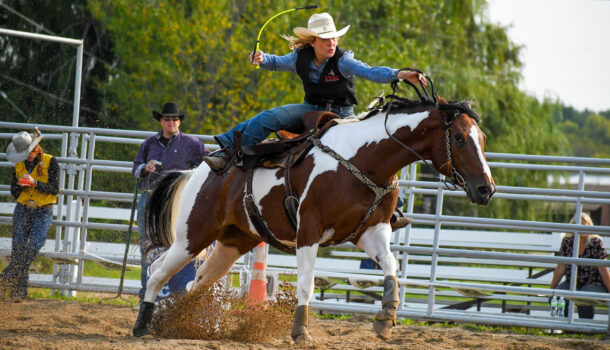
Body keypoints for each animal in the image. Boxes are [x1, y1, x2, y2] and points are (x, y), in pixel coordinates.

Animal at [132, 94, 494, 344]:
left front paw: (386, 318)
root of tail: (198, 170)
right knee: (158, 272)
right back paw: (143, 324)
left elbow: (391, 267)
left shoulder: (371, 232)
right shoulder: (309, 231)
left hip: (233, 242)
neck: (363, 159)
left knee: (197, 283)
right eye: (459, 137)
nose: (486, 188)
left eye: (483, 139)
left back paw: (194, 326)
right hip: (192, 236)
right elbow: (306, 282)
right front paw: (300, 332)